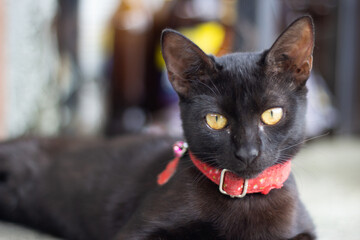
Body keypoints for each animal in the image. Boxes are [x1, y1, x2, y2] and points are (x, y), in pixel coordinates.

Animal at [0, 15, 316, 239]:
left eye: (271, 114)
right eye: (216, 120)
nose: (247, 153)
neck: (244, 199)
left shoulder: (304, 230)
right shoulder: (138, 230)